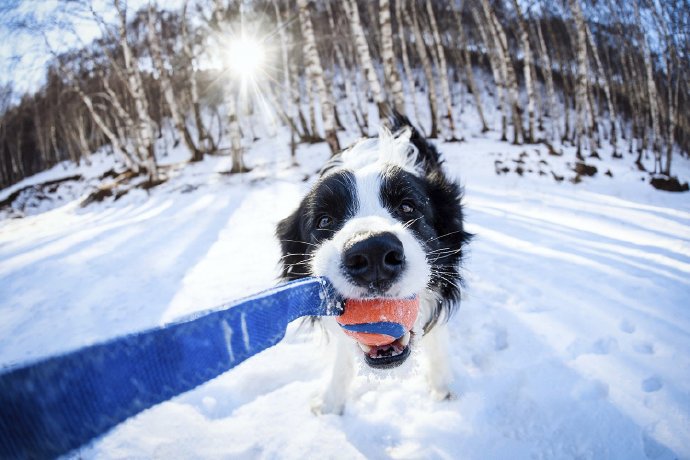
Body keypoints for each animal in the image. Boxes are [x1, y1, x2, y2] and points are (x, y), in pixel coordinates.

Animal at [276, 117, 470, 414]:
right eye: (323, 220)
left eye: (407, 207)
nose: (372, 252)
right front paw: (331, 401)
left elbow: (435, 333)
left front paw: (442, 388)